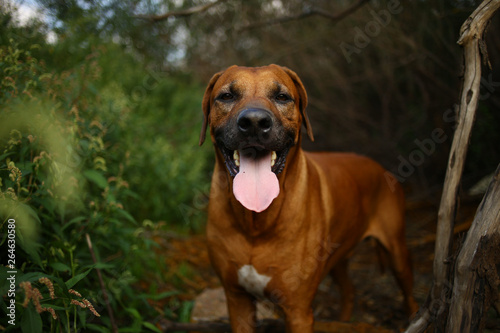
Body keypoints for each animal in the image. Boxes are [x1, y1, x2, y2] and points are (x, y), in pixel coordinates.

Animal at [199, 63, 418, 330]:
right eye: (227, 96)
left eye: (282, 97)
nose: (254, 122)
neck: (256, 221)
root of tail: (379, 166)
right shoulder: (237, 301)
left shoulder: (298, 311)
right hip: (338, 254)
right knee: (349, 290)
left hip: (397, 250)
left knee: (408, 291)